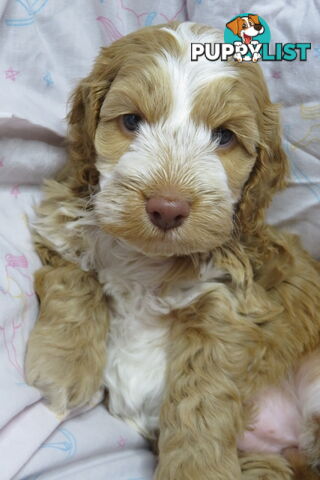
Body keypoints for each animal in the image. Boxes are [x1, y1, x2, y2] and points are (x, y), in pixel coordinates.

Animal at [25, 22, 320, 480]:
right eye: (131, 120)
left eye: (224, 136)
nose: (167, 207)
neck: (146, 259)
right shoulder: (60, 217)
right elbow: (73, 278)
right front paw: (64, 363)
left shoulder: (229, 303)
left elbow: (201, 401)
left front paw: (196, 469)